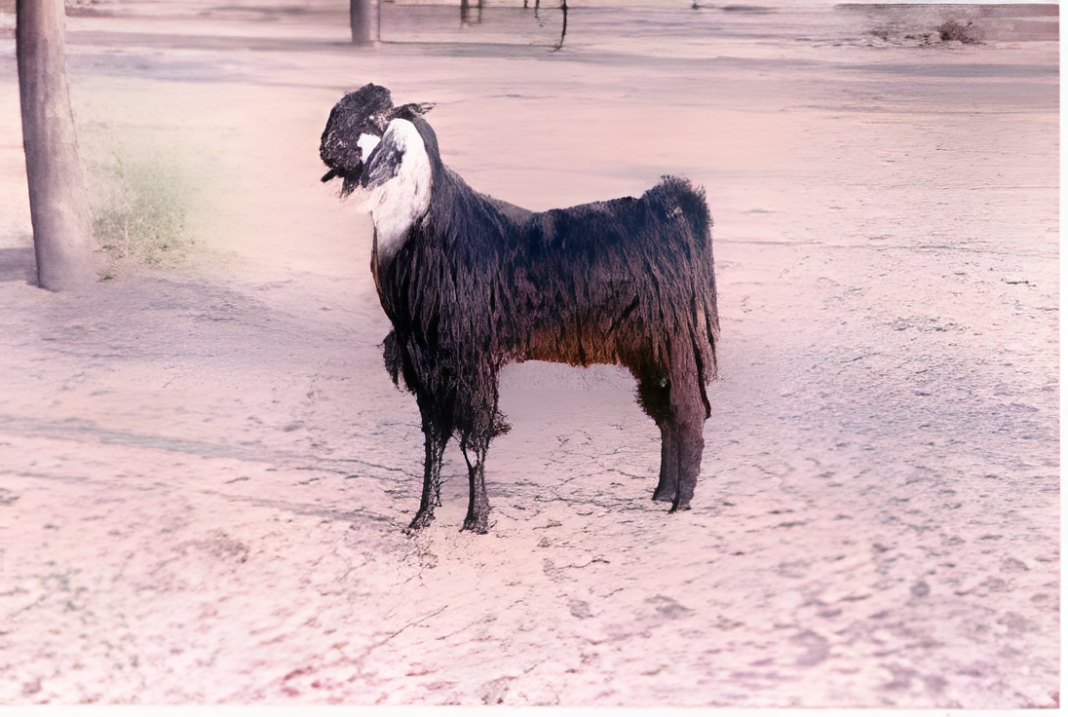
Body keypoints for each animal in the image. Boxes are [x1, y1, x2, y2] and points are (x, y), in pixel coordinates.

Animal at [320, 84, 719, 533]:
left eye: (373, 119)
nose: (328, 150)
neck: (427, 231)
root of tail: (675, 209)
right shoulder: (425, 362)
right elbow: (433, 441)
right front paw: (422, 516)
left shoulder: (469, 360)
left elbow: (473, 441)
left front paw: (477, 519)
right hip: (648, 348)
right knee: (665, 412)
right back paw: (663, 492)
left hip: (673, 341)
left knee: (687, 412)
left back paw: (680, 501)